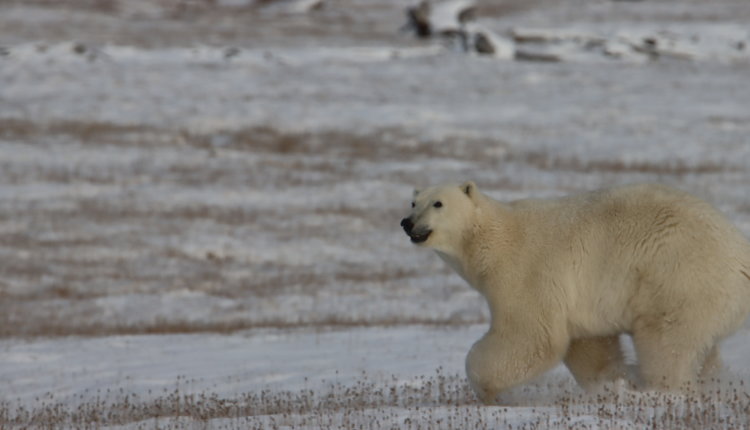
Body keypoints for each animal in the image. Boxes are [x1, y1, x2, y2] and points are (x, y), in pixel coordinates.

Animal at [400, 181, 750, 404]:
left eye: (438, 203)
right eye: (414, 202)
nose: (407, 222)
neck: (493, 241)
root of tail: (741, 255)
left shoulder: (527, 271)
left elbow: (532, 336)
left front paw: (488, 391)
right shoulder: (579, 303)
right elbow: (589, 346)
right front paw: (611, 383)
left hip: (679, 278)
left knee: (666, 346)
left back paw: (660, 388)